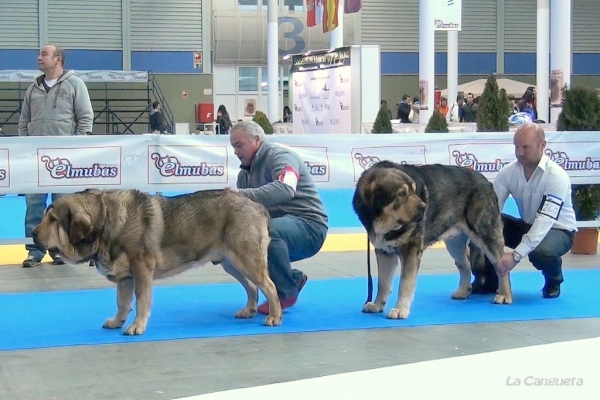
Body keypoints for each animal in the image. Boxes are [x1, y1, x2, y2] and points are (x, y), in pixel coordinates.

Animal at [32, 189, 284, 332]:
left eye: (53, 220)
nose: (33, 233)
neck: (104, 222)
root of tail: (257, 205)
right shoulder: (125, 277)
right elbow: (122, 302)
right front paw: (117, 322)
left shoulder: (141, 270)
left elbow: (141, 301)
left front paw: (137, 326)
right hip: (230, 262)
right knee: (252, 287)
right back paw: (249, 310)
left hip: (246, 258)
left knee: (270, 286)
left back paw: (274, 316)